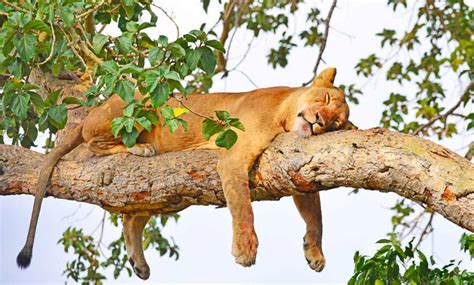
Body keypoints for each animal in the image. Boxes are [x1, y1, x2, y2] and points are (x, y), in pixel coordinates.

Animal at [16, 66, 354, 278]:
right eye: (325, 99)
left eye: (336, 122)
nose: (320, 121)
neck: (284, 111)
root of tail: (96, 108)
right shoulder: (232, 158)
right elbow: (243, 207)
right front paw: (245, 248)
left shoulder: (296, 168)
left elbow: (315, 214)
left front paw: (315, 252)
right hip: (135, 105)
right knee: (92, 143)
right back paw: (140, 148)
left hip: (164, 193)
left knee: (132, 217)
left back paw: (138, 262)